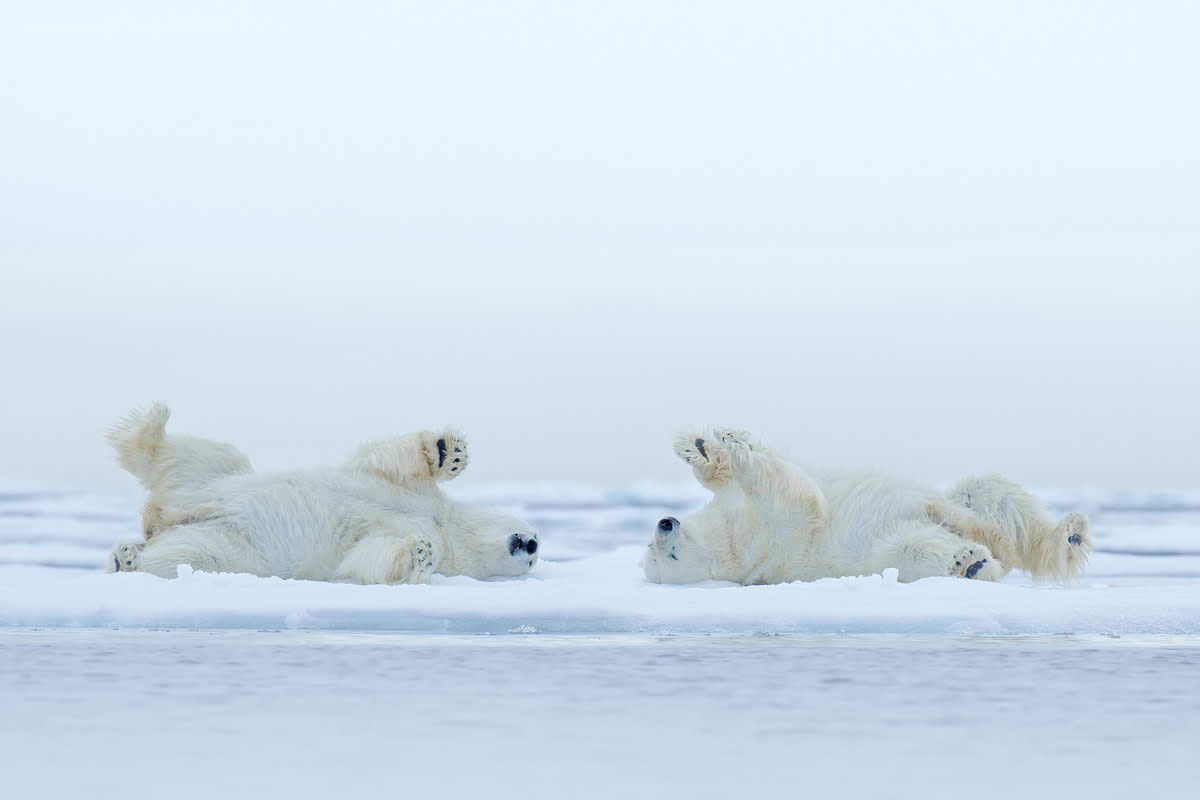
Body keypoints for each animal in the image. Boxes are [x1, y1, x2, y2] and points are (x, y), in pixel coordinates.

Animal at [108, 407, 540, 582]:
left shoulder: (421, 535)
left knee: (190, 555)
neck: (446, 527)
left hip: (232, 547)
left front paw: (419, 554)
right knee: (200, 455)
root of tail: (159, 519)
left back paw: (127, 557)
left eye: (535, 559)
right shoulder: (411, 494)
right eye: (533, 530)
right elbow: (385, 461)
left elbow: (368, 556)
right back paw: (152, 425)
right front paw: (449, 452)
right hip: (216, 480)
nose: (532, 543)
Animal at [643, 429, 1094, 585]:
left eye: (651, 546)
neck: (731, 538)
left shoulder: (734, 510)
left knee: (990, 496)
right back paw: (972, 561)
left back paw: (1069, 532)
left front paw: (704, 446)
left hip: (966, 502)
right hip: (884, 551)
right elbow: (796, 498)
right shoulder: (771, 537)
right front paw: (738, 451)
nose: (664, 523)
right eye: (666, 556)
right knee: (919, 546)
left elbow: (722, 479)